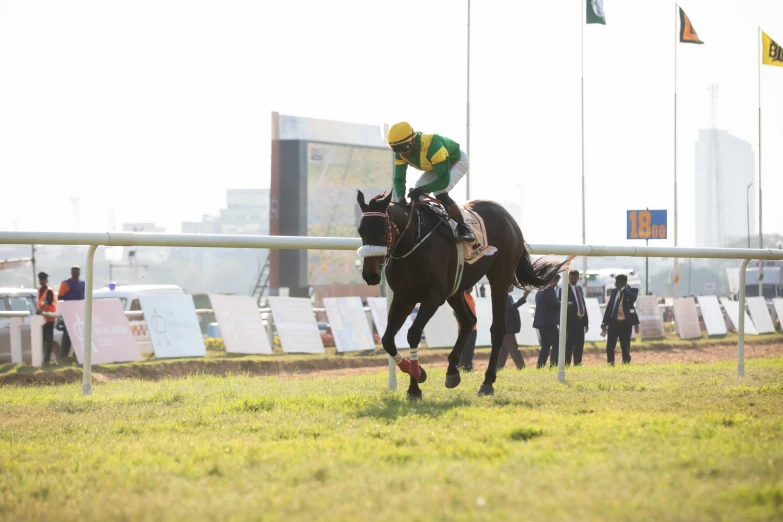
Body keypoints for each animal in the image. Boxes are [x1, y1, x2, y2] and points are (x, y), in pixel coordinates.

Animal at [356, 191, 564, 398]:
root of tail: (508, 217)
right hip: (455, 290)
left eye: (382, 230)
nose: (370, 275)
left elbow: (413, 334)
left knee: (497, 329)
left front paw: (415, 385)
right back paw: (452, 372)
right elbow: (387, 340)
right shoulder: (404, 298)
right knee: (468, 321)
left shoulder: (434, 298)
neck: (414, 242)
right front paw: (418, 374)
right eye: (360, 231)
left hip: (500, 277)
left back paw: (487, 381)